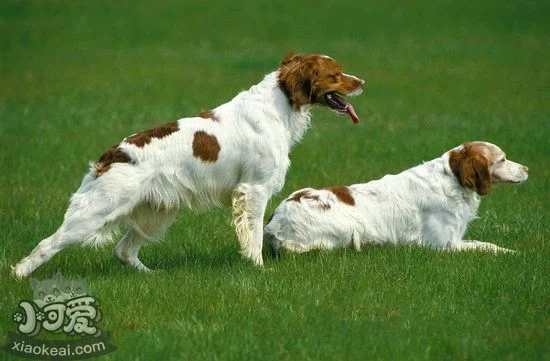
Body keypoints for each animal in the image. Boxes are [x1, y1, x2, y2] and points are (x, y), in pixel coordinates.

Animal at [11, 52, 366, 278]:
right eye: (336, 74)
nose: (362, 81)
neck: (278, 105)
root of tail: (111, 155)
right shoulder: (254, 190)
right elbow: (253, 237)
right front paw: (258, 269)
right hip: (97, 211)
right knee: (47, 244)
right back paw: (19, 275)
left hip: (156, 212)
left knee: (124, 251)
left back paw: (151, 276)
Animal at [266, 141, 532, 253]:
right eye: (502, 160)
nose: (528, 169)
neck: (452, 180)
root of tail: (276, 221)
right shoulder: (444, 244)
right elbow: (486, 246)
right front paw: (512, 253)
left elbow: (485, 243)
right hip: (352, 227)